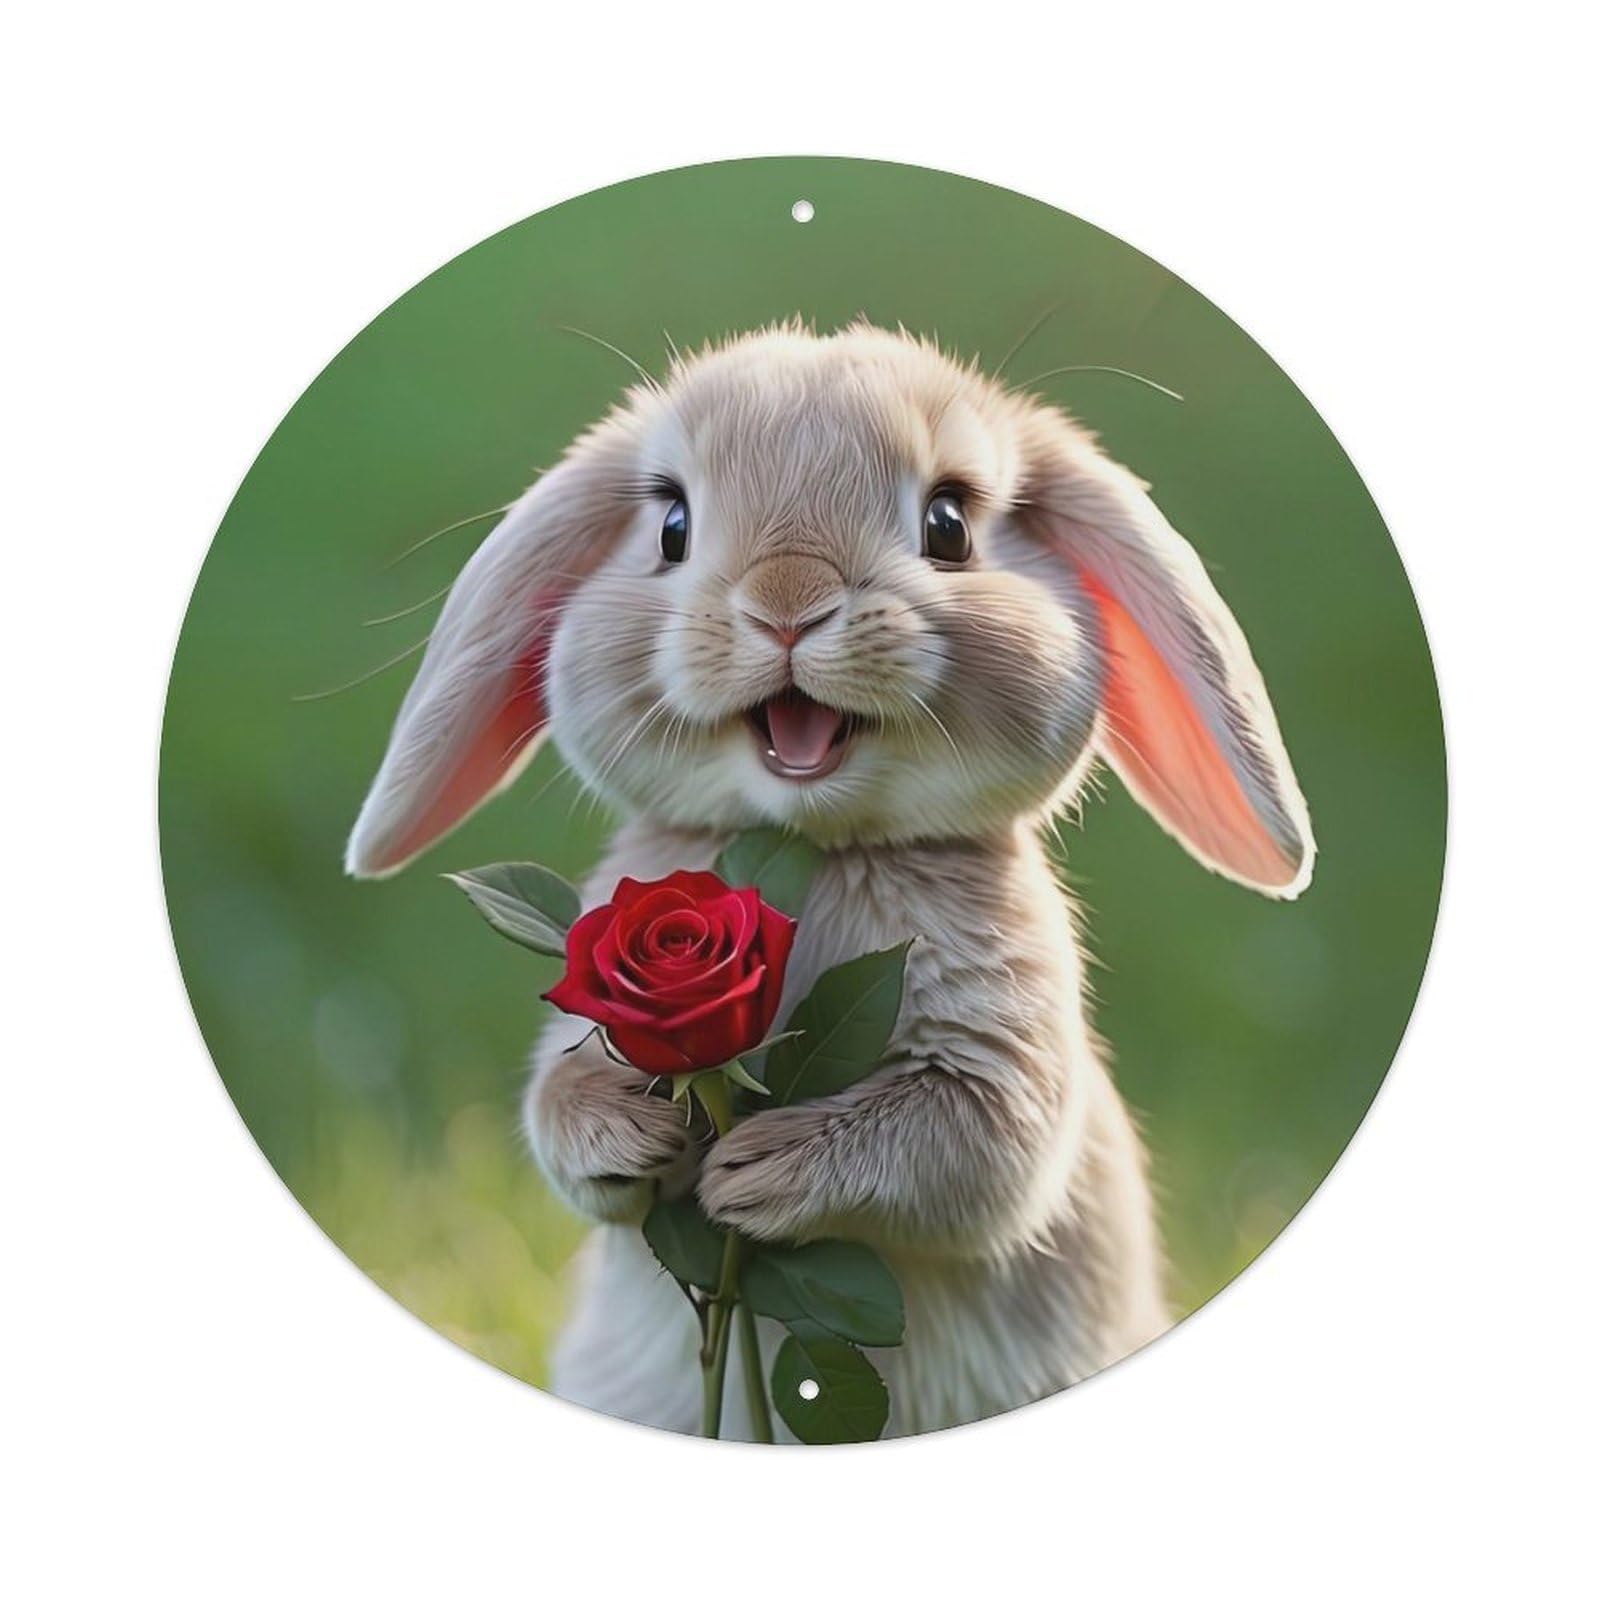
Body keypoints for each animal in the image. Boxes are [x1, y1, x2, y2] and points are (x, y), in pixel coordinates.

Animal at [346, 321, 1315, 1439]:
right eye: (672, 523)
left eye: (948, 524)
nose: (787, 606)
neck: (823, 844)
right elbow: (560, 1111)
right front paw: (633, 1130)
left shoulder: (998, 1072)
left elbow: (966, 1148)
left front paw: (754, 1172)